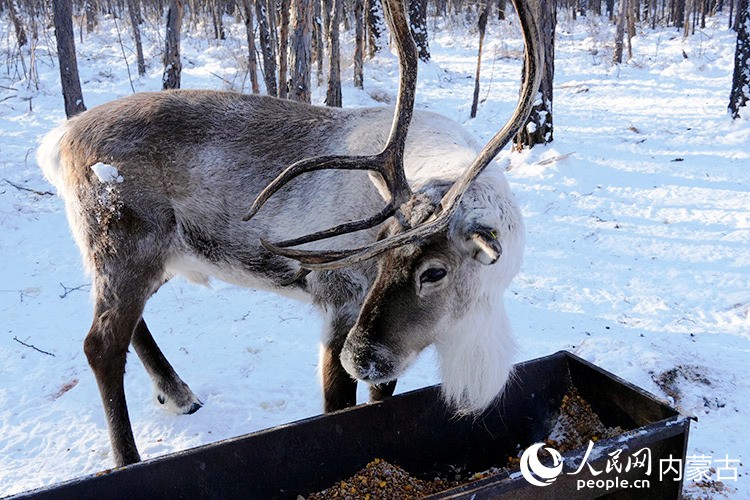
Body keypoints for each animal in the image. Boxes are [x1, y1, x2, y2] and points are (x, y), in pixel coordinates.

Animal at [36, 0, 542, 468]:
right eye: (378, 257)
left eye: (434, 271)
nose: (358, 358)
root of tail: (59, 139)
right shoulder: (340, 304)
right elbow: (337, 406)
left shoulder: (390, 343)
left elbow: (382, 395)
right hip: (123, 245)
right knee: (101, 345)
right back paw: (128, 459)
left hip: (151, 255)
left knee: (126, 324)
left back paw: (178, 394)